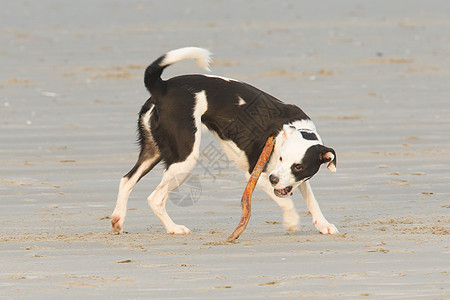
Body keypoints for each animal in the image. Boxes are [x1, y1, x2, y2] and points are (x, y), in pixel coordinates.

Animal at [110, 46, 340, 234]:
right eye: (282, 158)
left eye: (299, 167)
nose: (274, 179)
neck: (297, 129)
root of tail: (163, 87)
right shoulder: (257, 174)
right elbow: (286, 203)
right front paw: (292, 222)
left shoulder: (291, 179)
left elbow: (311, 199)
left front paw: (323, 224)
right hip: (184, 158)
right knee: (155, 198)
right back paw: (174, 228)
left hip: (155, 151)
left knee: (126, 180)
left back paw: (118, 220)